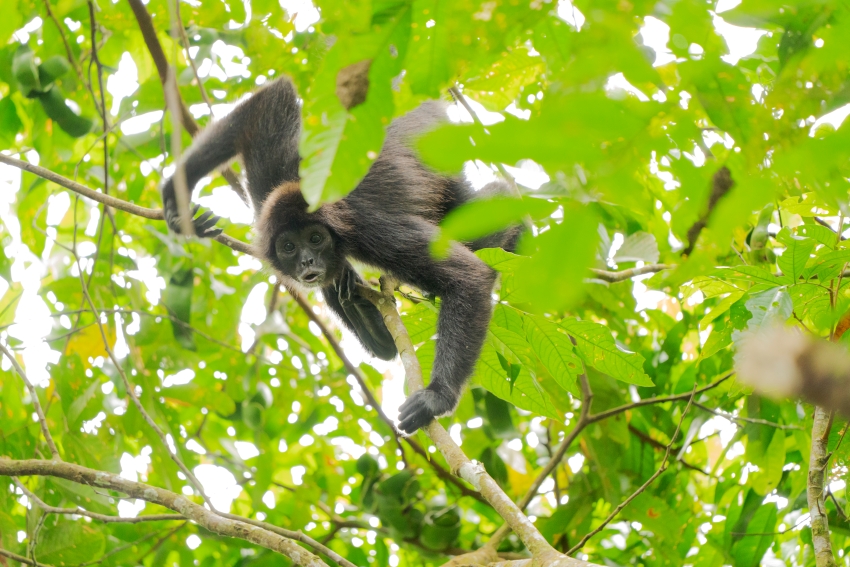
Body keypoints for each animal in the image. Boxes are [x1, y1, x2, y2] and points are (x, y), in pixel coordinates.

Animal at [161, 77, 521, 433]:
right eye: (289, 246)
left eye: (316, 238)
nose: (307, 261)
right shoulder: (270, 186)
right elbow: (272, 99)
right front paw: (174, 201)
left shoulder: (369, 228)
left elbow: (468, 277)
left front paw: (437, 397)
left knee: (493, 203)